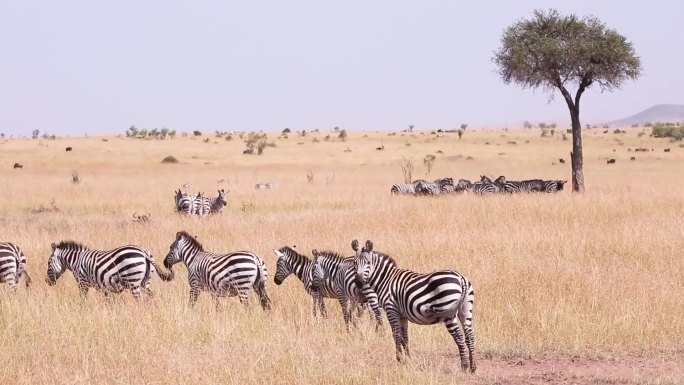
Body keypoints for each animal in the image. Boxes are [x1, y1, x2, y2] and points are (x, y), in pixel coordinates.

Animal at [45, 240, 174, 296]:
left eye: (48, 262)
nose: (47, 281)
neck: (76, 261)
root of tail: (144, 253)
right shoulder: (103, 286)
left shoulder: (82, 282)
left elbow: (82, 299)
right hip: (146, 281)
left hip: (134, 281)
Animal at [352, 238, 476, 374]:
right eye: (354, 263)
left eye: (368, 263)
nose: (358, 282)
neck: (386, 280)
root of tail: (461, 279)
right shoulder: (402, 315)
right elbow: (405, 337)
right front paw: (407, 359)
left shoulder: (391, 310)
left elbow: (396, 335)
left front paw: (399, 359)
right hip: (466, 310)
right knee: (470, 336)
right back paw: (473, 367)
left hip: (448, 312)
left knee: (459, 337)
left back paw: (464, 366)